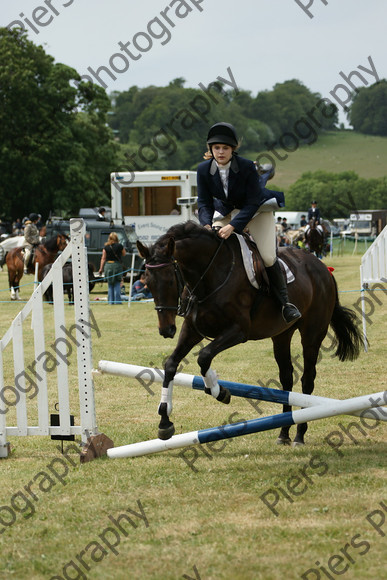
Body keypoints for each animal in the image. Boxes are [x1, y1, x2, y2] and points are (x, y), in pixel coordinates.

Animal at [137, 221, 364, 444]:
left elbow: (204, 356)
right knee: (286, 378)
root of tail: (322, 267)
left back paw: (299, 434)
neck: (209, 275)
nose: (166, 330)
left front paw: (219, 391)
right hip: (281, 335)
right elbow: (171, 365)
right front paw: (165, 421)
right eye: (148, 282)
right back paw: (283, 432)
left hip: (312, 334)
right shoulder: (192, 330)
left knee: (307, 379)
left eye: (170, 280)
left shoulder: (238, 331)